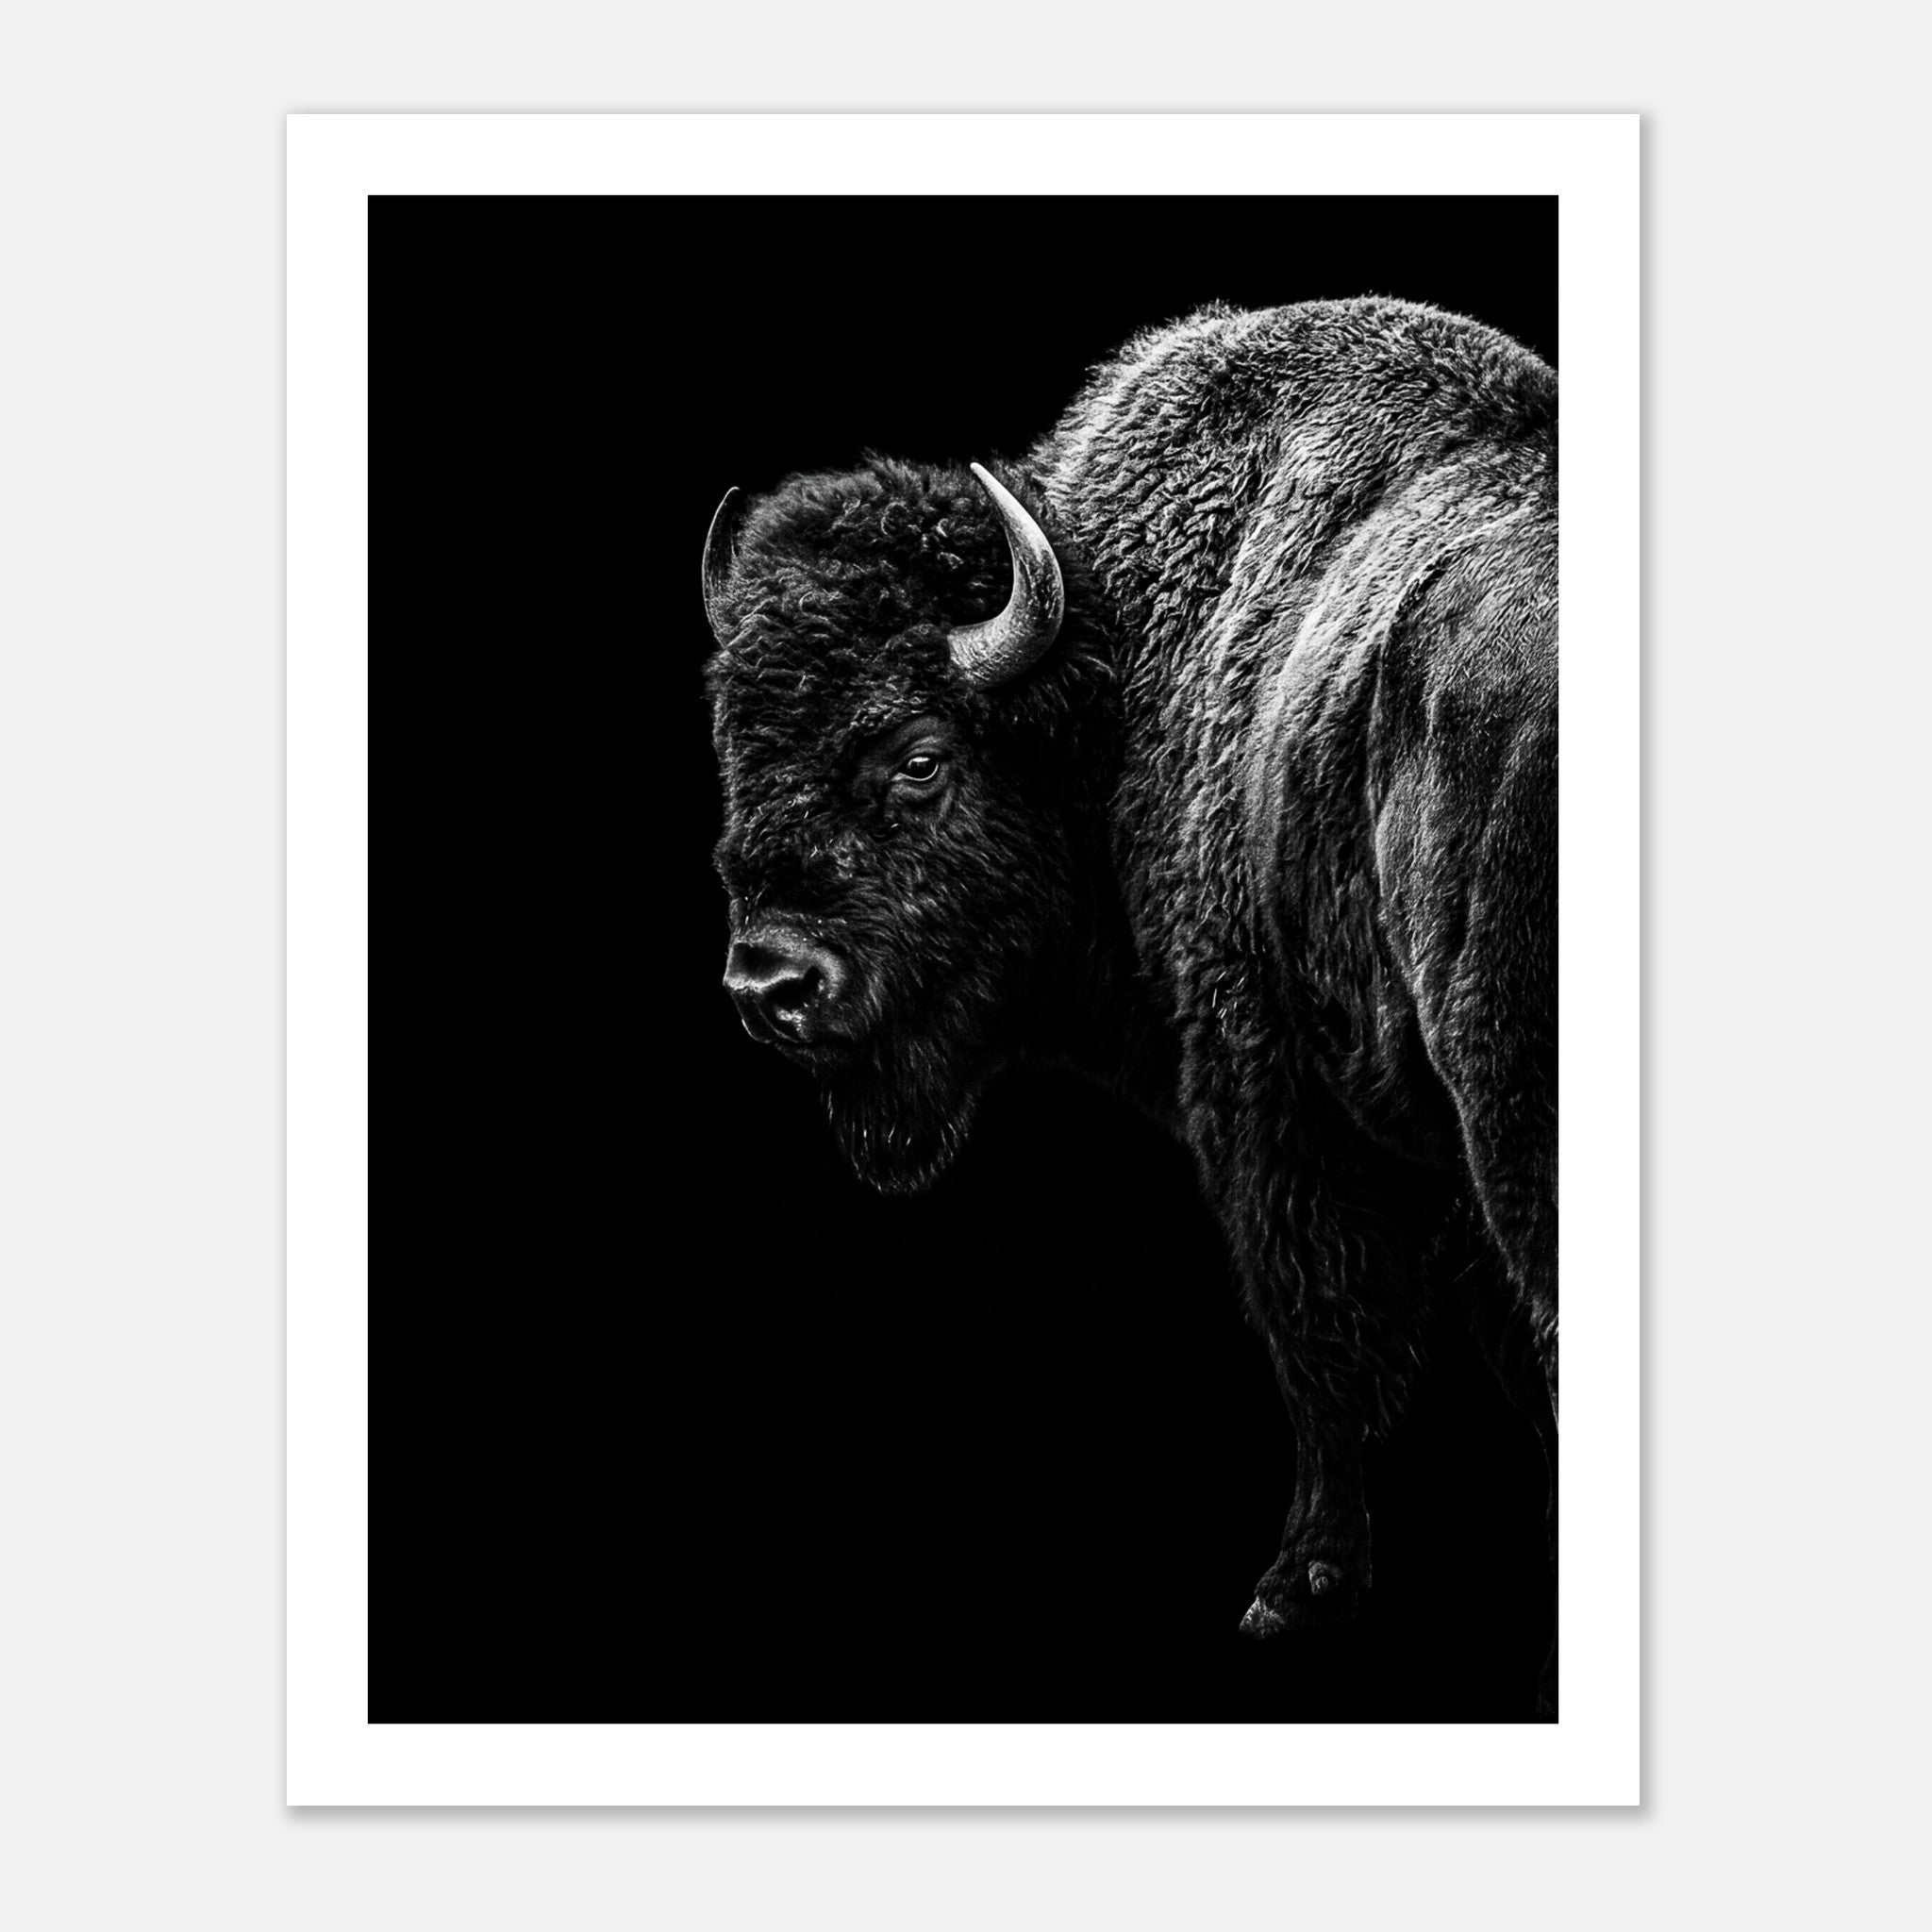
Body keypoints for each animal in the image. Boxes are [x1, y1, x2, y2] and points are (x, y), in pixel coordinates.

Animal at [702, 298, 1557, 1708]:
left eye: (919, 758)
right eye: (736, 750)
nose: (771, 983)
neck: (1108, 668)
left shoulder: (1268, 1099)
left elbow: (1321, 1337)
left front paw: (1296, 1589)